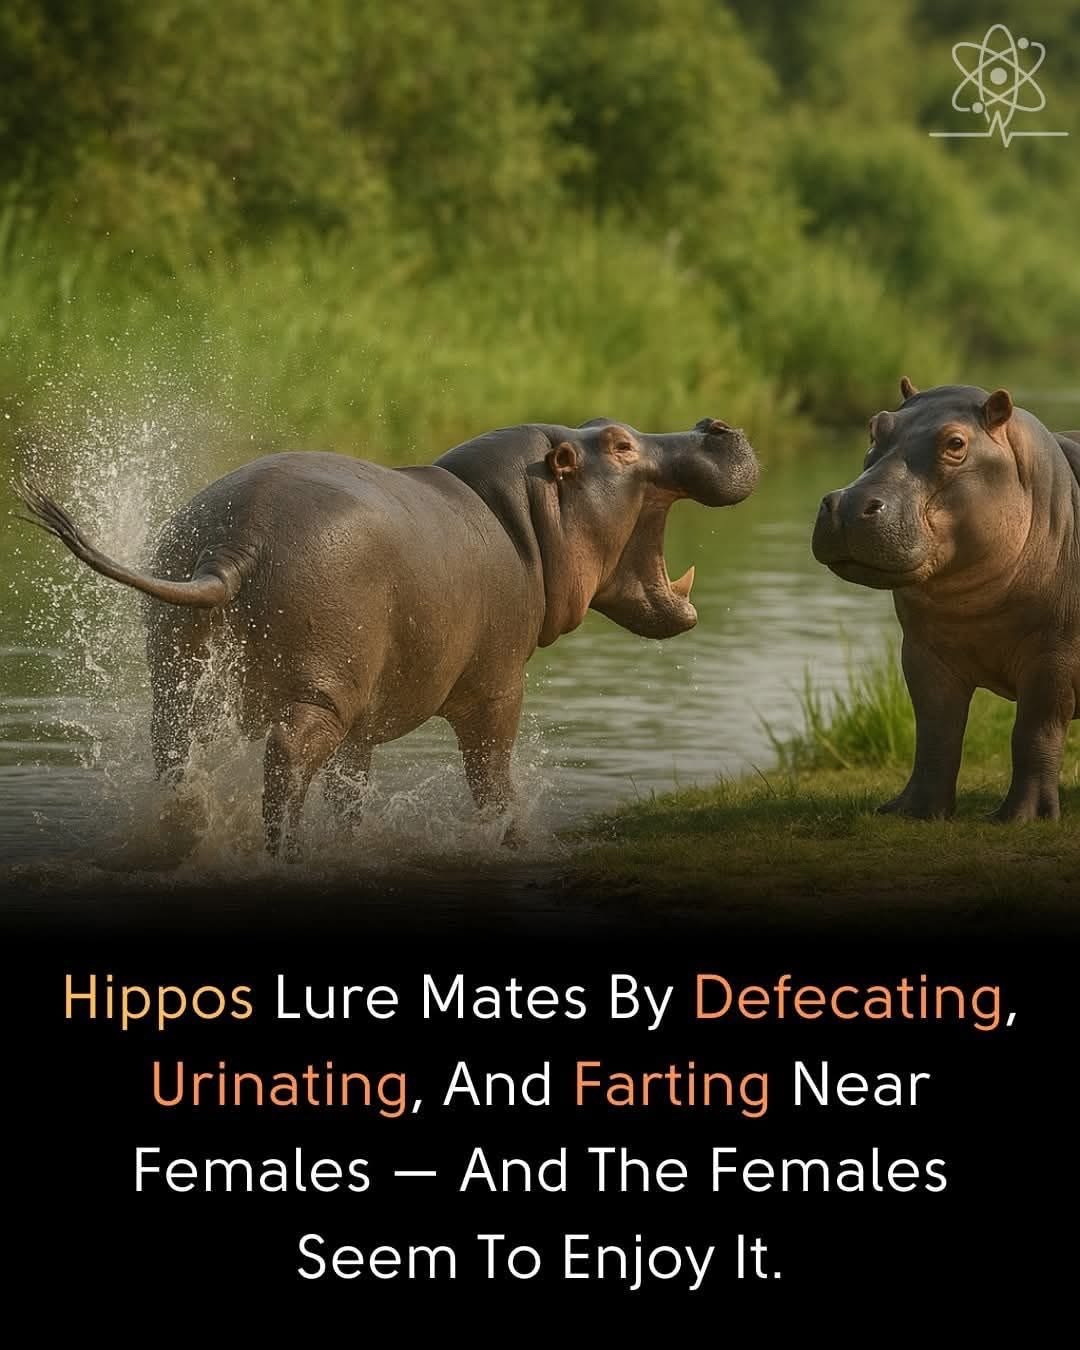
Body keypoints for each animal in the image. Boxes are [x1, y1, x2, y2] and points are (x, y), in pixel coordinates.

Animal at [17, 417, 758, 856]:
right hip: (322, 688)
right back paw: (284, 854)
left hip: (186, 669)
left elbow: (353, 784)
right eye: (622, 441)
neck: (524, 511)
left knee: (177, 747)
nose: (712, 424)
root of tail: (232, 546)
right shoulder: (498, 688)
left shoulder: (367, 713)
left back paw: (186, 829)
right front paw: (511, 838)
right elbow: (491, 771)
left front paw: (357, 839)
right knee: (288, 754)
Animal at [813, 377, 1080, 822]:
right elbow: (936, 732)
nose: (848, 505)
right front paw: (912, 811)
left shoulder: (1054, 653)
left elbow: (1034, 731)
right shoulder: (923, 652)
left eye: (956, 442)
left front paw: (1021, 817)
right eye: (875, 426)